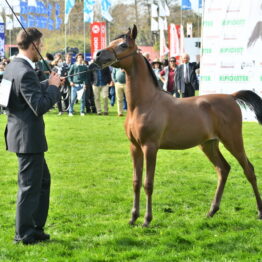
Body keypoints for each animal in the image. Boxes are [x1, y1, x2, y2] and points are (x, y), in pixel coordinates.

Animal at [94, 25, 262, 227]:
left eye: (123, 45)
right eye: (112, 42)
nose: (97, 55)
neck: (144, 103)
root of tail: (231, 96)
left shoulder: (150, 147)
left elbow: (148, 183)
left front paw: (146, 220)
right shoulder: (134, 147)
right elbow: (136, 182)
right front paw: (133, 217)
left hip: (233, 141)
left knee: (249, 170)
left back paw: (260, 212)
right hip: (209, 144)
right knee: (223, 169)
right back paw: (211, 211)